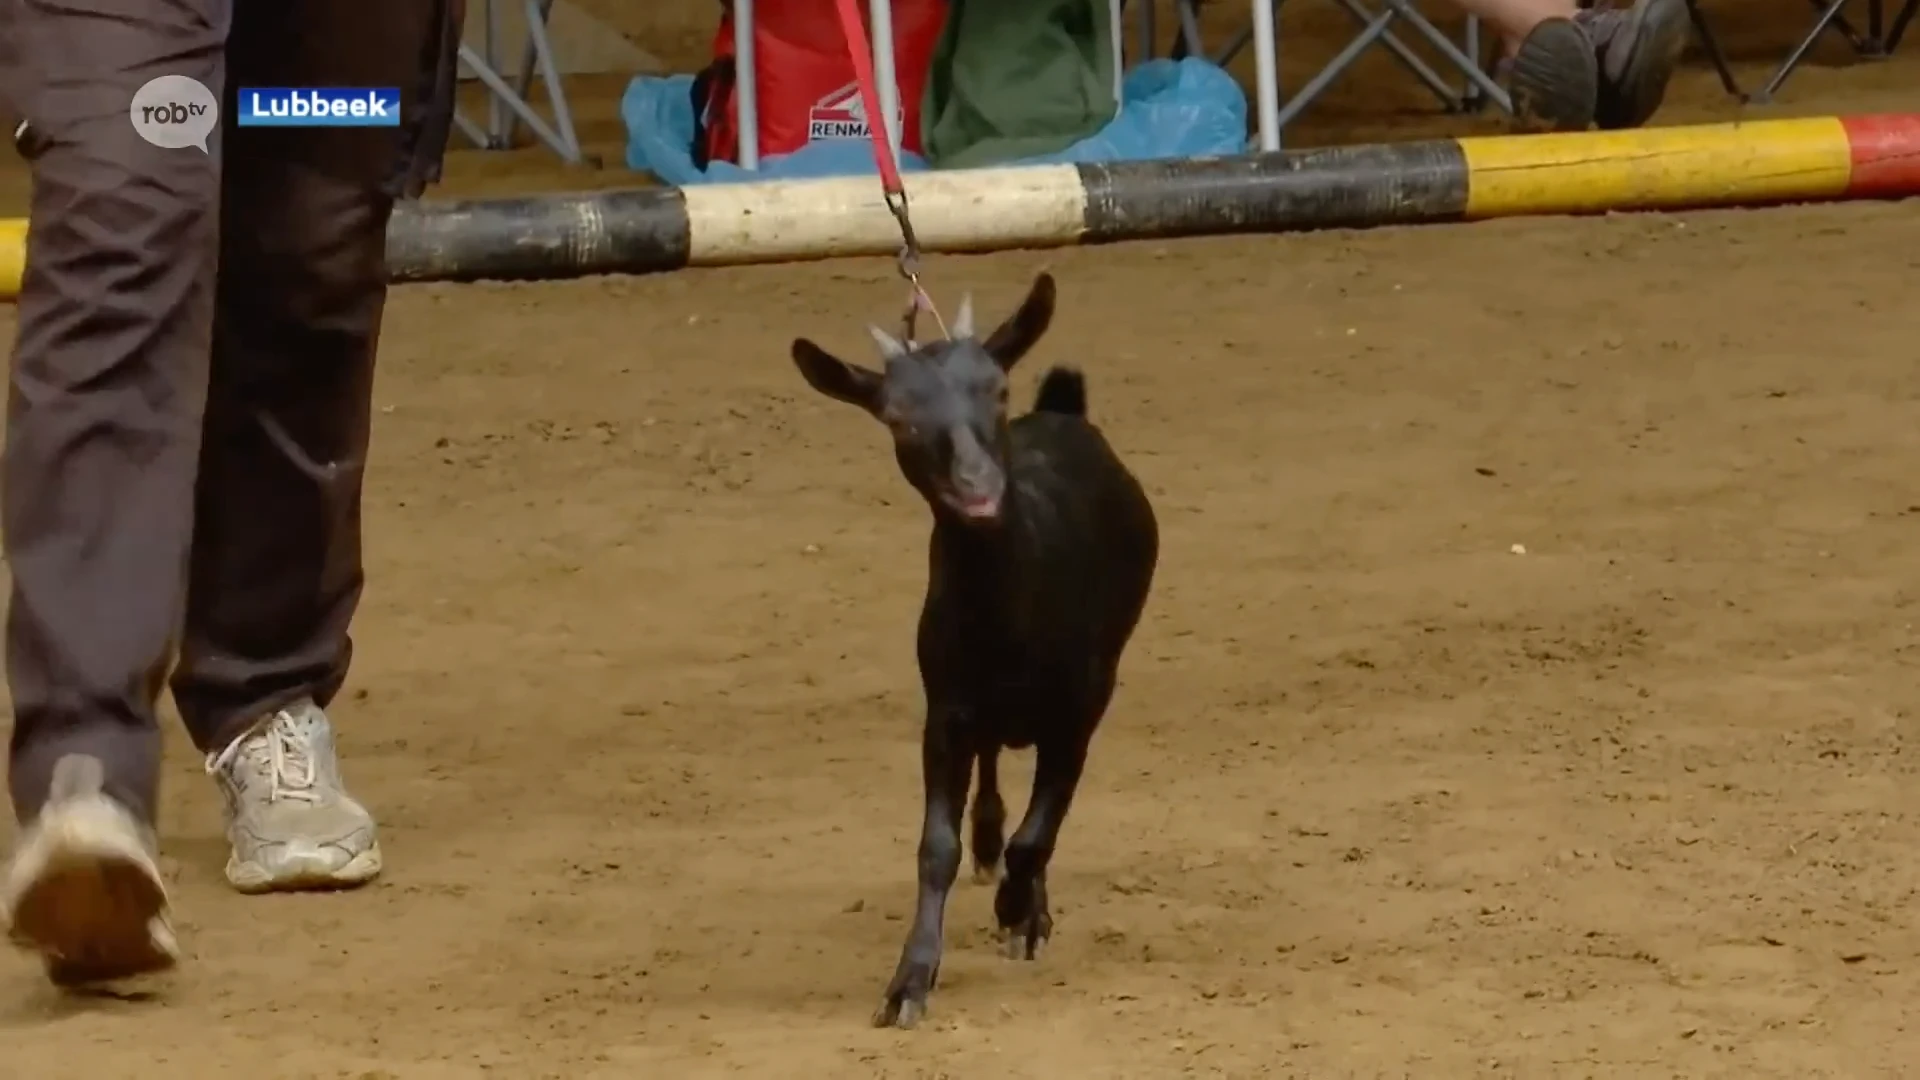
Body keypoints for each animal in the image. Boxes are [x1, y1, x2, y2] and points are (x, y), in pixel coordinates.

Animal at [791, 270, 1159, 1022]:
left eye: (997, 390)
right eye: (898, 418)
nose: (978, 490)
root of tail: (1063, 410)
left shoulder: (1081, 709)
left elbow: (1039, 834)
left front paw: (1020, 912)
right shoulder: (947, 712)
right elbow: (938, 847)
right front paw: (909, 982)